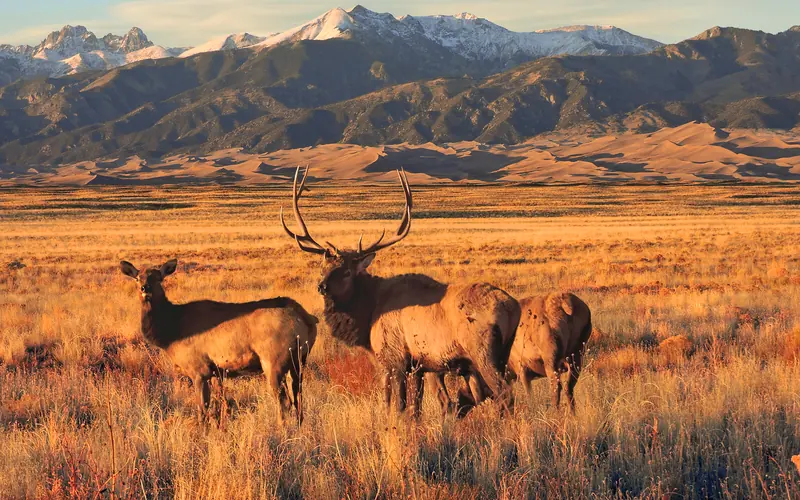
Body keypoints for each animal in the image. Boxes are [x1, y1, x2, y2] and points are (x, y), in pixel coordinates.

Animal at [120, 259, 318, 423]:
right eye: (137, 278)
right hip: (299, 363)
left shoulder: (199, 369)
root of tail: (307, 318)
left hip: (274, 361)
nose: (145, 288)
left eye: (159, 278)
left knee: (285, 402)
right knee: (299, 401)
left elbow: (202, 411)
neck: (171, 332)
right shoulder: (215, 372)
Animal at [280, 166, 521, 417]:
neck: (368, 317)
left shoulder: (394, 359)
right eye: (323, 268)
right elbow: (415, 409)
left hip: (483, 352)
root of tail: (513, 307)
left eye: (346, 272)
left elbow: (397, 406)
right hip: (503, 353)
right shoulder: (419, 366)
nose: (322, 286)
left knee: (504, 393)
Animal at [431, 292, 592, 416]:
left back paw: (556, 412)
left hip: (551, 358)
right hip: (577, 356)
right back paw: (572, 413)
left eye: (462, 393)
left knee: (556, 386)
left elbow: (526, 394)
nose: (458, 412)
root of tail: (567, 306)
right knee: (569, 387)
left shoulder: (521, 369)